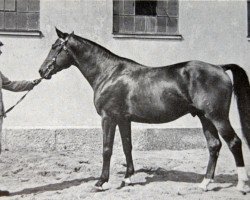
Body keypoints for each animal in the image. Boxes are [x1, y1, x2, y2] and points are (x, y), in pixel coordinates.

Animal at [39, 28, 250, 192]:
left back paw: (242, 184)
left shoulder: (108, 118)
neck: (109, 73)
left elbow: (107, 149)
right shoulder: (123, 119)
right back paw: (205, 183)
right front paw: (127, 178)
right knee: (214, 145)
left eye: (55, 47)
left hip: (218, 117)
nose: (42, 71)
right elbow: (127, 146)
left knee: (234, 142)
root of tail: (220, 67)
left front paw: (101, 182)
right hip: (204, 117)